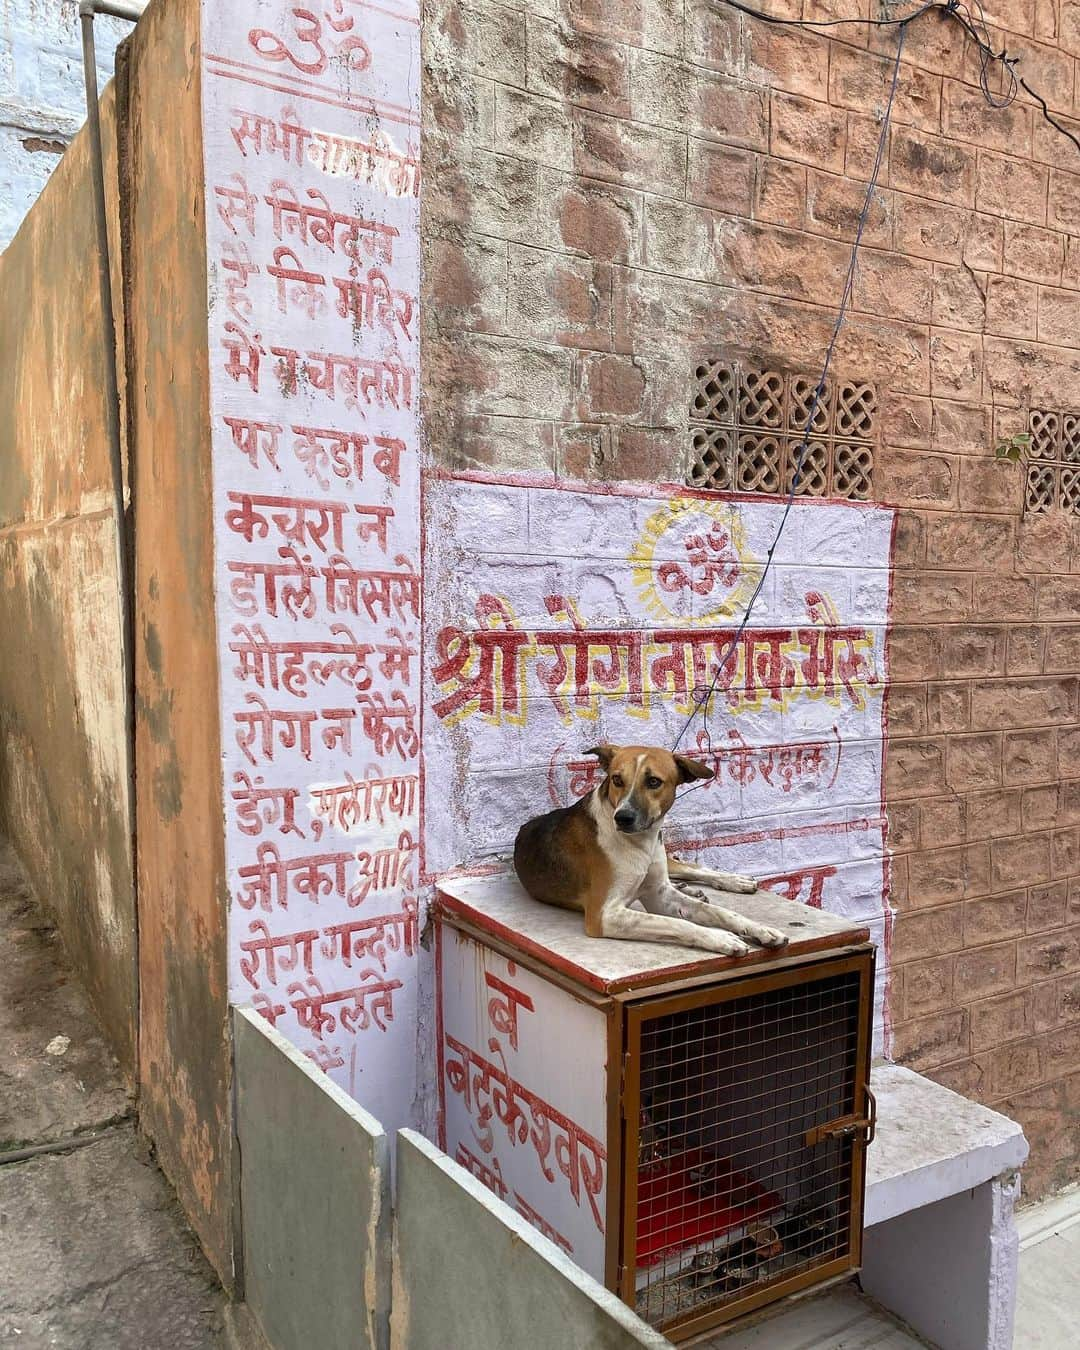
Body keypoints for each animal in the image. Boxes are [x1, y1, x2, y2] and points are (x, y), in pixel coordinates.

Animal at [510, 745, 788, 955]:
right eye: (616, 779)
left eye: (654, 782)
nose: (622, 818)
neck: (641, 842)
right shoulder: (605, 915)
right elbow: (676, 923)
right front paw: (721, 937)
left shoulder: (658, 895)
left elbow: (720, 911)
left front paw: (760, 929)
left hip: (664, 859)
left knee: (688, 867)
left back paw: (734, 881)